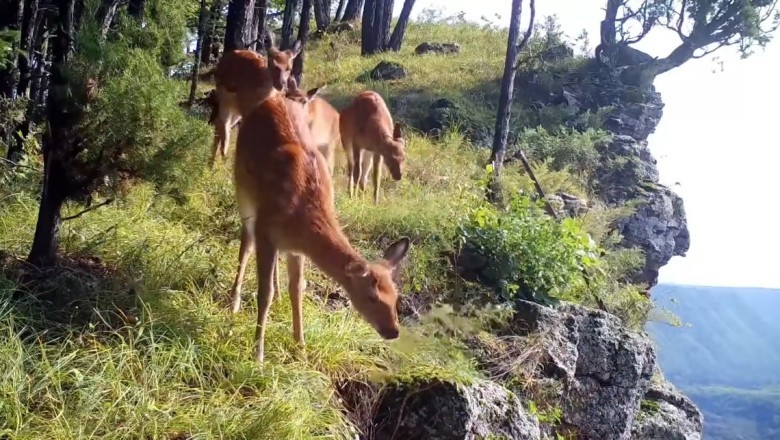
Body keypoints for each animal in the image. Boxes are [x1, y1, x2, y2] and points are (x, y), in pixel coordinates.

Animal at [229, 89, 411, 363]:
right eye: (371, 296)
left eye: (396, 297)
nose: (393, 331)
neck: (302, 215)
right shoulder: (266, 230)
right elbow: (264, 292)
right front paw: (258, 354)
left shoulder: (295, 248)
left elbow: (297, 289)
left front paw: (301, 347)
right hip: (243, 191)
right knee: (245, 245)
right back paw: (234, 304)